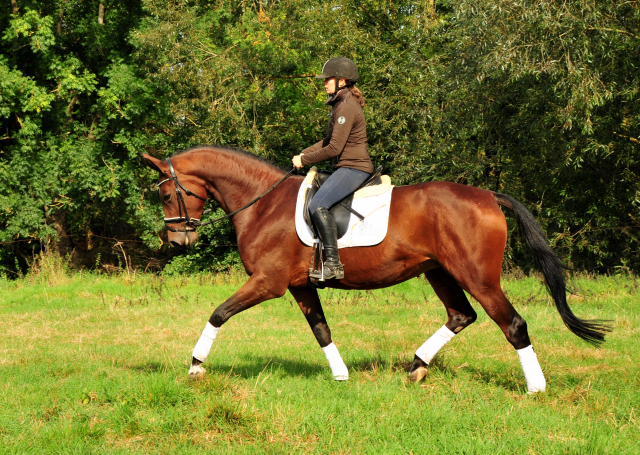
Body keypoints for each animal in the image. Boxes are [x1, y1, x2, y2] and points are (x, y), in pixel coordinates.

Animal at [142, 144, 612, 394]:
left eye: (165, 195)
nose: (177, 242)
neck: (262, 202)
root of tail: (488, 196)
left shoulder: (267, 282)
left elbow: (218, 314)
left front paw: (196, 366)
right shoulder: (299, 286)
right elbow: (321, 330)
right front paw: (340, 375)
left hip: (477, 276)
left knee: (511, 323)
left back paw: (535, 387)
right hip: (438, 271)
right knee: (461, 315)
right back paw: (416, 366)